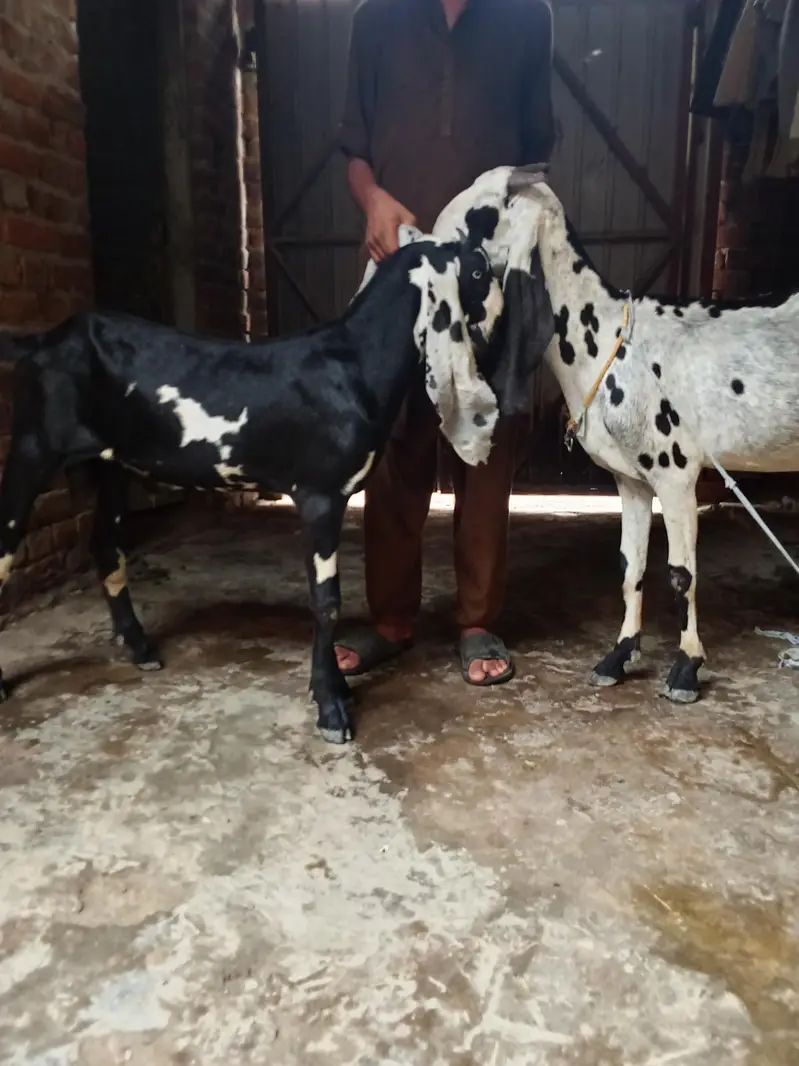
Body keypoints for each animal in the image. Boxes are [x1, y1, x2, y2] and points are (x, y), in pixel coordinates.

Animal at [0, 228, 505, 743]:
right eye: (478, 271)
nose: (501, 320)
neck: (354, 360)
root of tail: (41, 342)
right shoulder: (320, 495)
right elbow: (327, 602)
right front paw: (330, 707)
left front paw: (339, 690)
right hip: (33, 447)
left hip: (112, 464)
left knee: (105, 545)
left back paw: (141, 649)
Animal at [435, 165, 799, 703]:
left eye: (486, 211)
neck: (606, 336)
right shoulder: (631, 481)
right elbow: (631, 566)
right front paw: (619, 655)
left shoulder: (676, 472)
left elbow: (682, 574)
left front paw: (686, 668)